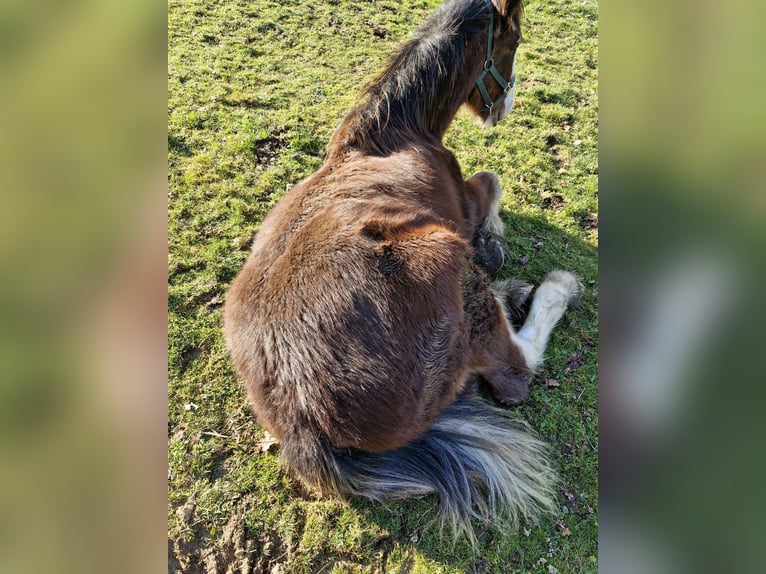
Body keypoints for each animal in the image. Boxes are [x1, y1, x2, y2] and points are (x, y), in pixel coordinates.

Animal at [225, 0, 584, 544]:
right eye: (514, 42)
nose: (503, 108)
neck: (396, 131)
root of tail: (303, 421)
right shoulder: (464, 201)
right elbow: (492, 180)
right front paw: (495, 247)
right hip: (443, 252)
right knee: (513, 371)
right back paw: (547, 288)